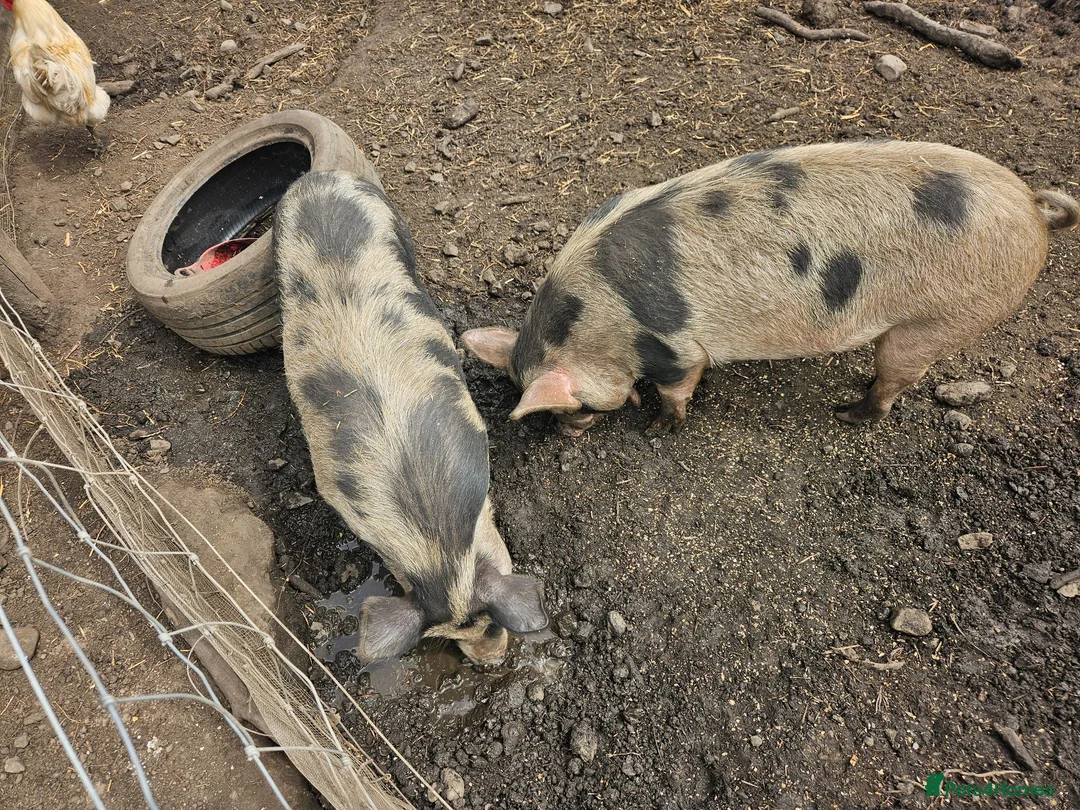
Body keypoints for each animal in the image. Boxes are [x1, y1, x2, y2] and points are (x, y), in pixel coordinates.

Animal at [273, 170, 548, 665]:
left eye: (491, 621)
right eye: (452, 637)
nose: (492, 660)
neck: (437, 542)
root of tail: (322, 178)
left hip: (390, 220)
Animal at [462, 140, 1079, 435]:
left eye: (575, 404)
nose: (568, 433)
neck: (595, 322)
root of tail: (1033, 207)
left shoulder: (677, 349)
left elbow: (678, 388)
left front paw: (658, 428)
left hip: (942, 318)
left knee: (896, 378)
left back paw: (848, 414)